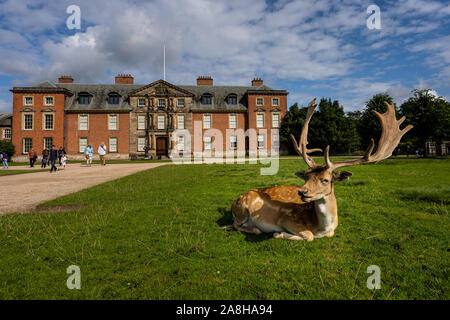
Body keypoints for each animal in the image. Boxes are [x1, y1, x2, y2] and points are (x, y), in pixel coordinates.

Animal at [230, 99, 414, 241]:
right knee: (236, 224)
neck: (323, 227)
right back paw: (255, 229)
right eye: (305, 177)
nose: (302, 192)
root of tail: (235, 201)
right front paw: (278, 234)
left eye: (325, 179)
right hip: (242, 210)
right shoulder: (287, 218)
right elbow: (309, 235)